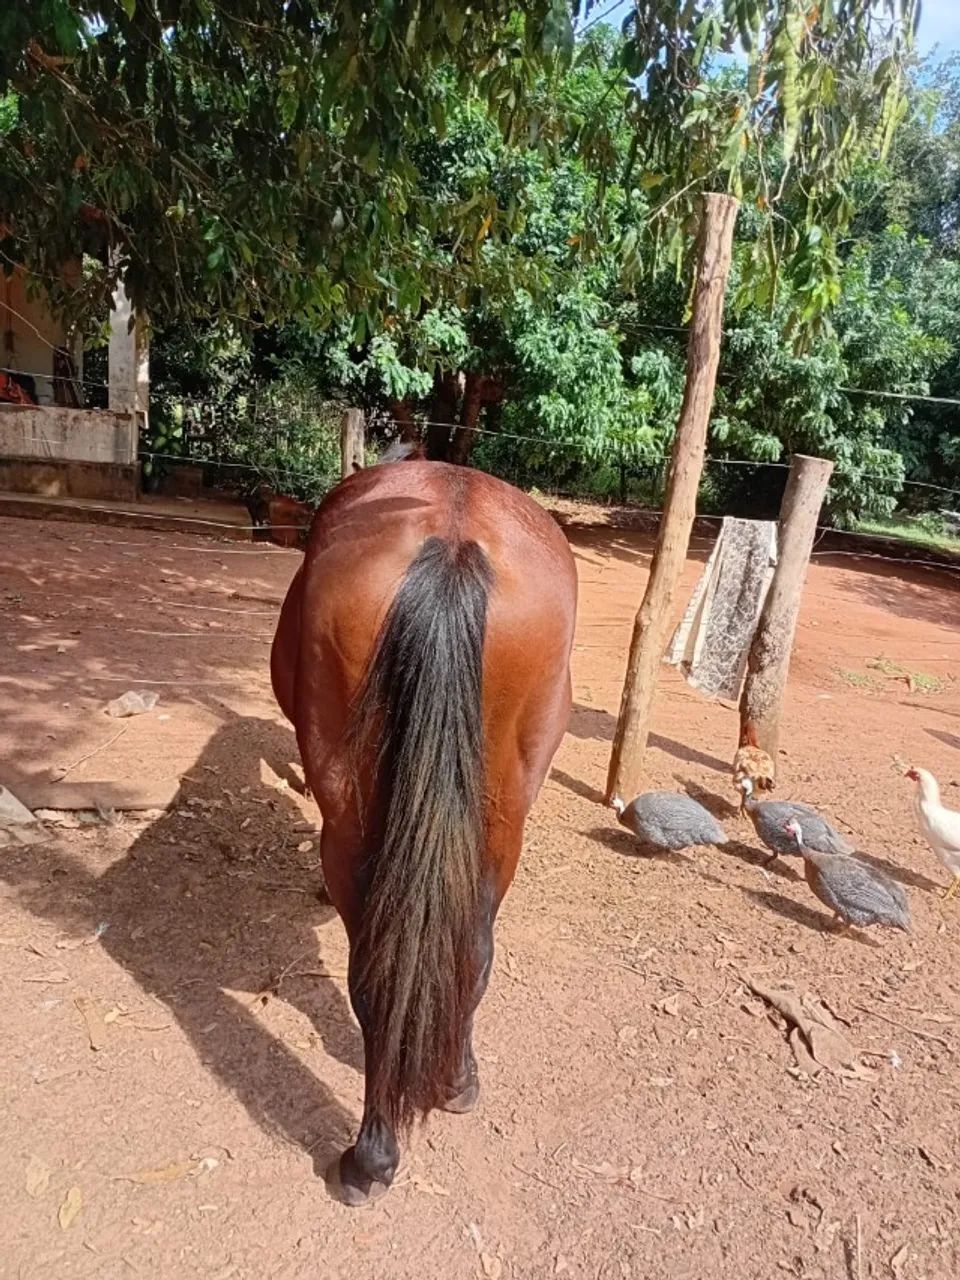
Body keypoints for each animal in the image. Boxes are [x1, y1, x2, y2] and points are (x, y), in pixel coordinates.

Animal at [270, 460, 577, 1205]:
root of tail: (454, 543)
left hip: (352, 815)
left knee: (374, 966)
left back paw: (370, 1158)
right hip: (501, 815)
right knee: (472, 945)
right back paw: (457, 1082)